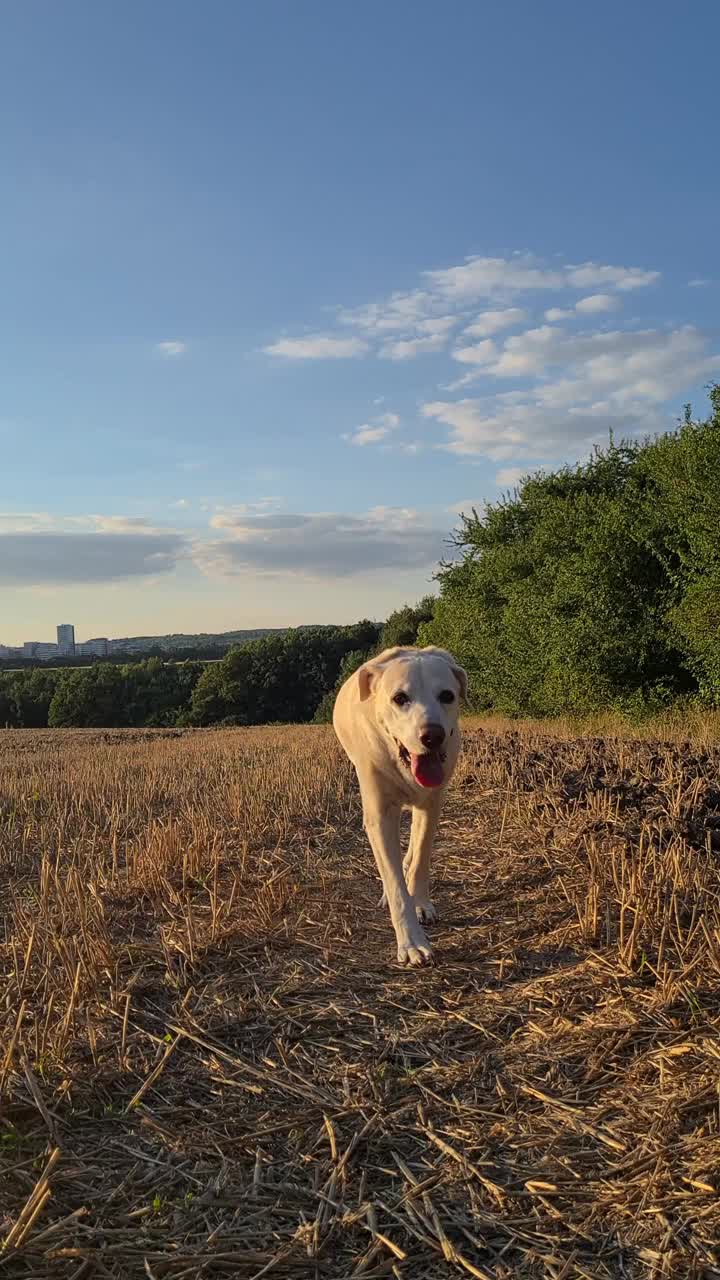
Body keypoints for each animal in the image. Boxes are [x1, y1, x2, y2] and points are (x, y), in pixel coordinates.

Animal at [330, 645, 466, 962]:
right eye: (399, 698)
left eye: (447, 695)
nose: (432, 736)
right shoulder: (379, 816)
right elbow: (394, 883)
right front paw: (411, 941)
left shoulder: (431, 805)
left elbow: (419, 858)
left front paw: (421, 903)